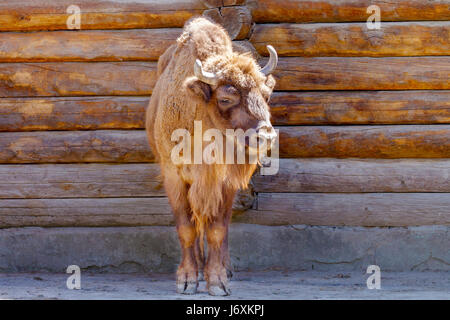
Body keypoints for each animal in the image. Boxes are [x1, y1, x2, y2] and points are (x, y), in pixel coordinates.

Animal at [146, 16, 276, 296]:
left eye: (265, 95)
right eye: (226, 98)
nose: (266, 136)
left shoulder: (223, 182)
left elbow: (217, 229)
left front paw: (217, 281)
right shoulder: (174, 176)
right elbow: (186, 228)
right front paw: (187, 280)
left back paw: (224, 270)